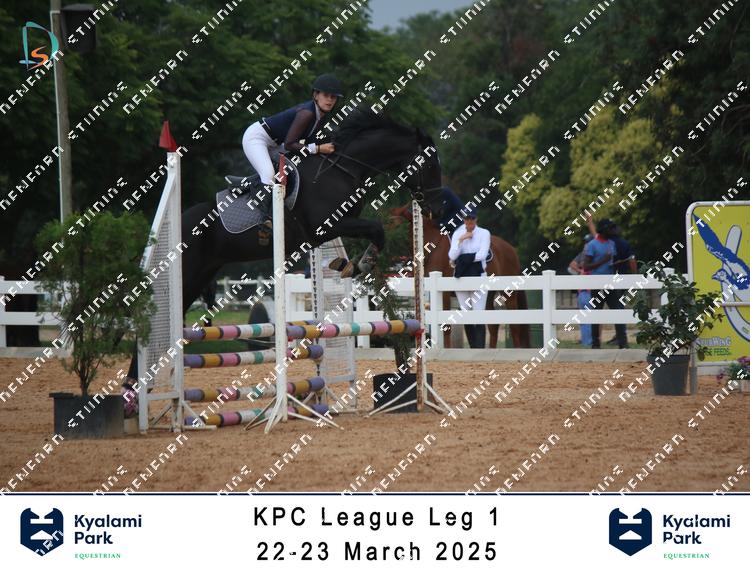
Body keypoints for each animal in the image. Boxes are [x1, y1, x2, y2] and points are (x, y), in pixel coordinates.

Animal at [125, 108, 444, 382]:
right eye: (429, 164)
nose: (435, 209)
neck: (341, 168)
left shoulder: (328, 231)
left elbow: (369, 237)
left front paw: (346, 264)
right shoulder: (325, 226)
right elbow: (377, 230)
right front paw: (361, 263)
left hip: (201, 275)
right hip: (188, 273)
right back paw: (135, 386)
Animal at [389, 204, 530, 348]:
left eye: (394, 224)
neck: (431, 248)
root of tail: (511, 249)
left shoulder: (444, 294)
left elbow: (446, 326)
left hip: (509, 293)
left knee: (514, 326)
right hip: (488, 294)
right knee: (493, 325)